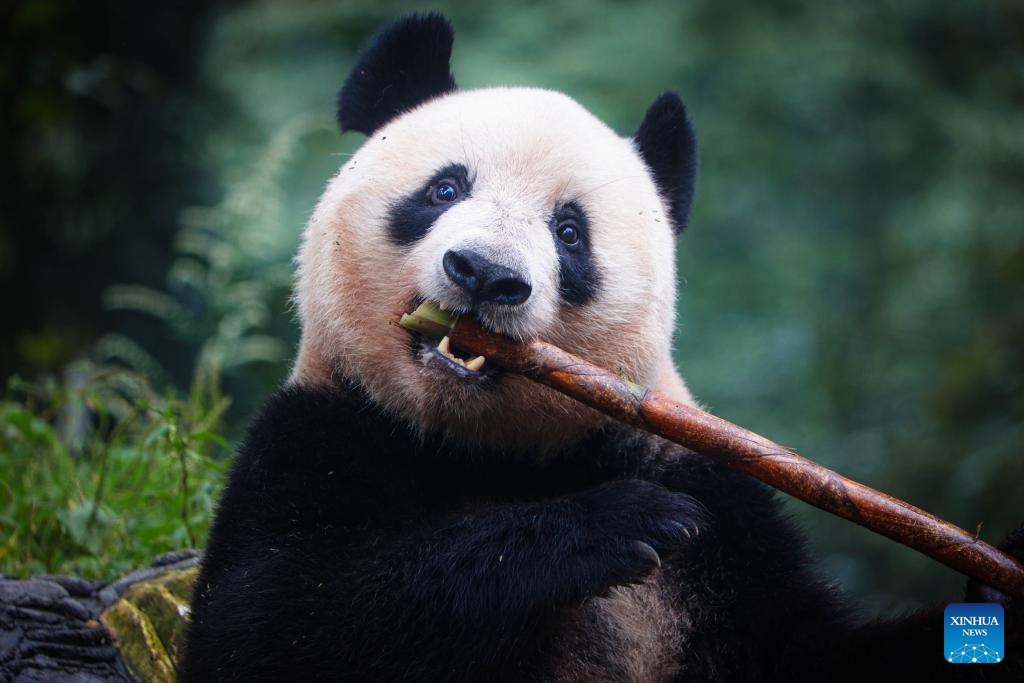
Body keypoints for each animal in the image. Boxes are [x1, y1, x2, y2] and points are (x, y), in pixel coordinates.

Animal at [182, 13, 1022, 682]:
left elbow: (809, 651)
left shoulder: (714, 502)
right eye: (445, 189)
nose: (484, 274)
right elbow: (270, 627)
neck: (480, 449)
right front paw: (618, 524)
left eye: (570, 232)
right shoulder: (320, 436)